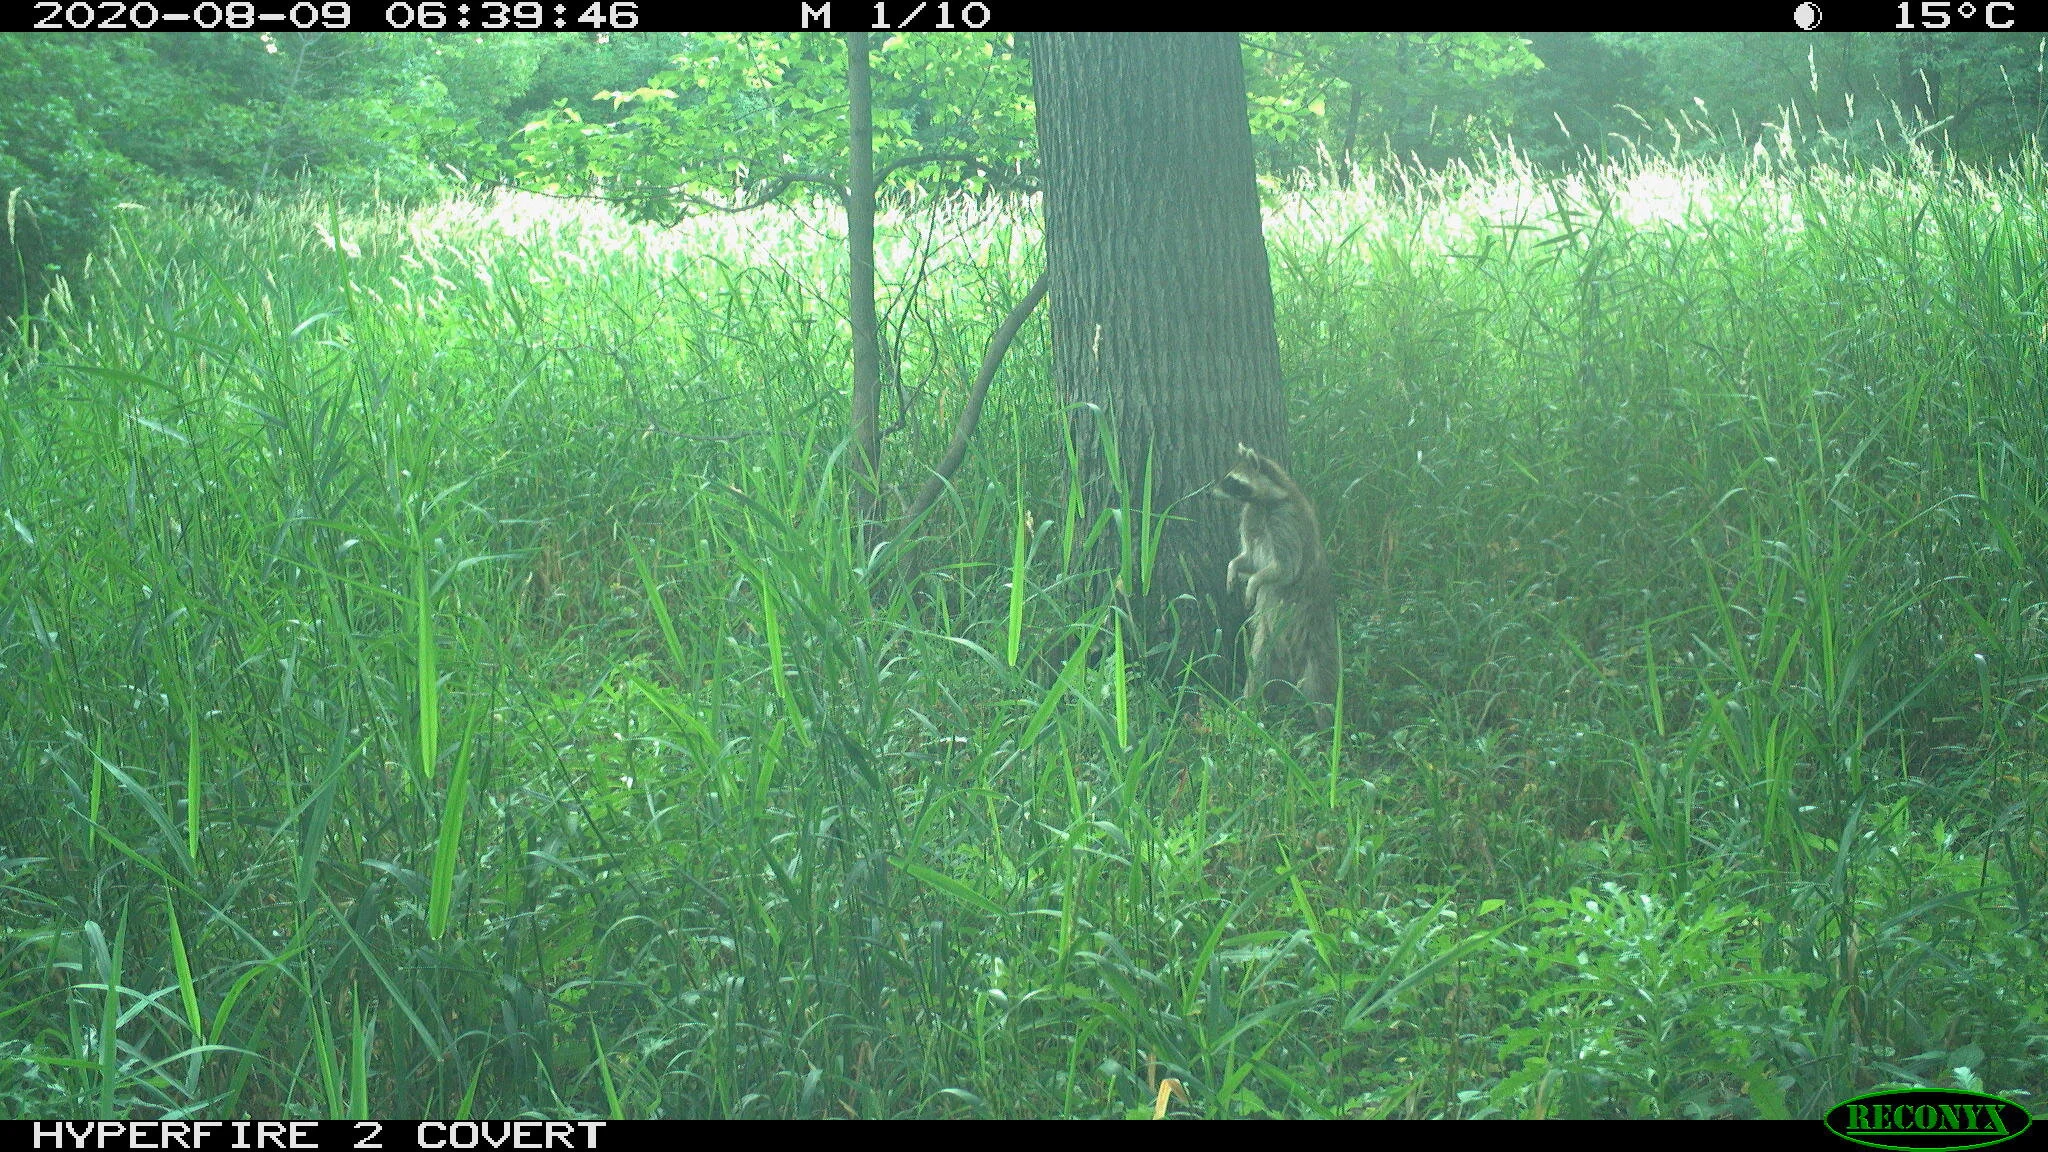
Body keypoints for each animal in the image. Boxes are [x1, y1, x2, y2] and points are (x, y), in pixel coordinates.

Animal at [1213, 443, 1339, 729]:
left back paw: (1324, 721)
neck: (1261, 501)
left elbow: (1285, 568)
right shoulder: (1251, 517)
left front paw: (1255, 582)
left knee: (1320, 681)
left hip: (1316, 634)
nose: (1210, 492)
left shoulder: (1286, 521)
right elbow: (1248, 559)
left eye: (1231, 481)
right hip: (1266, 638)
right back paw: (1249, 705)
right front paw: (1232, 568)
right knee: (1258, 669)